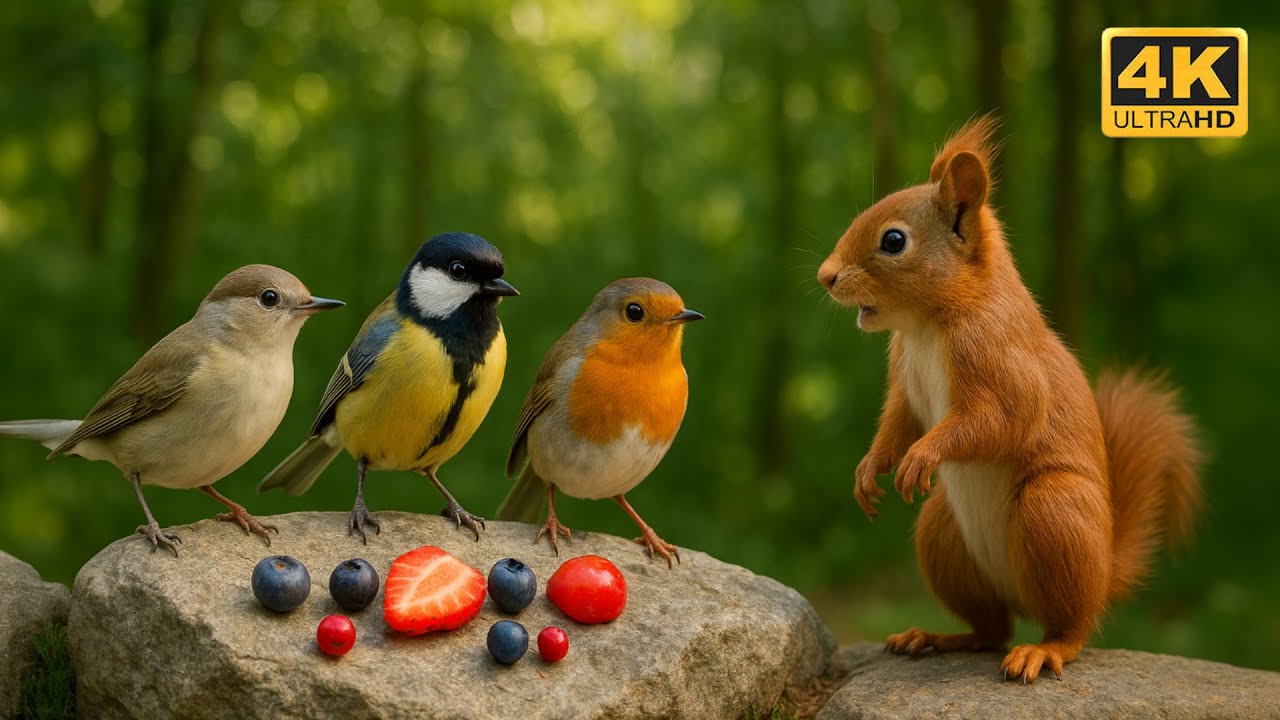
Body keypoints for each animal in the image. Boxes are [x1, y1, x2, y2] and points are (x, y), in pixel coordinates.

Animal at [816, 116, 1202, 684]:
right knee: (990, 629)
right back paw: (936, 637)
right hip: (942, 531)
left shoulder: (1001, 359)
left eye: (894, 240)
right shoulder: (905, 380)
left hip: (1053, 511)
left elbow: (1004, 418)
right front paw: (869, 470)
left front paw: (923, 455)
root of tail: (1104, 573)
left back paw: (1043, 650)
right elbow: (898, 423)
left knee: (1069, 627)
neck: (927, 325)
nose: (825, 276)